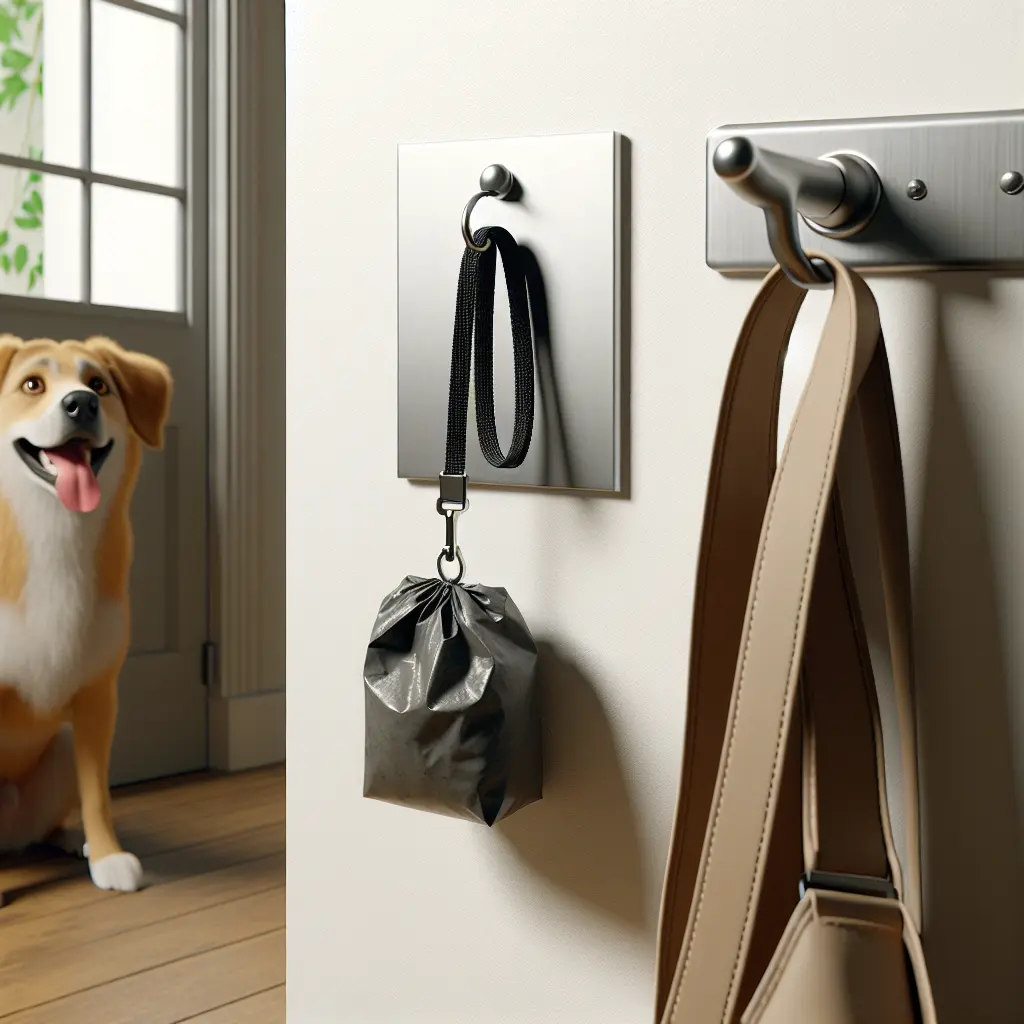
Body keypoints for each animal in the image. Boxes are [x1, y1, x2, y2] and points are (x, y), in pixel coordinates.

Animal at [0, 331, 172, 892]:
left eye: (99, 384)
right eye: (33, 384)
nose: (81, 403)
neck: (53, 531)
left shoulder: (98, 693)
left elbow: (97, 791)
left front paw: (107, 854)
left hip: (59, 747)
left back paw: (68, 840)